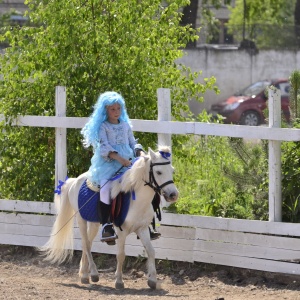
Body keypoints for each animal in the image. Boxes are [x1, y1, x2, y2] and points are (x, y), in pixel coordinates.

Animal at [39, 146, 178, 290]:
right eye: (159, 172)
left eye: (172, 170)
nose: (173, 195)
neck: (137, 201)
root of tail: (74, 181)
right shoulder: (121, 232)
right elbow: (121, 255)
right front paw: (119, 281)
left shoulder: (142, 229)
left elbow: (151, 252)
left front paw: (152, 280)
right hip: (81, 219)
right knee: (86, 244)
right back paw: (93, 274)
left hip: (94, 223)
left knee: (87, 243)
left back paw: (84, 274)